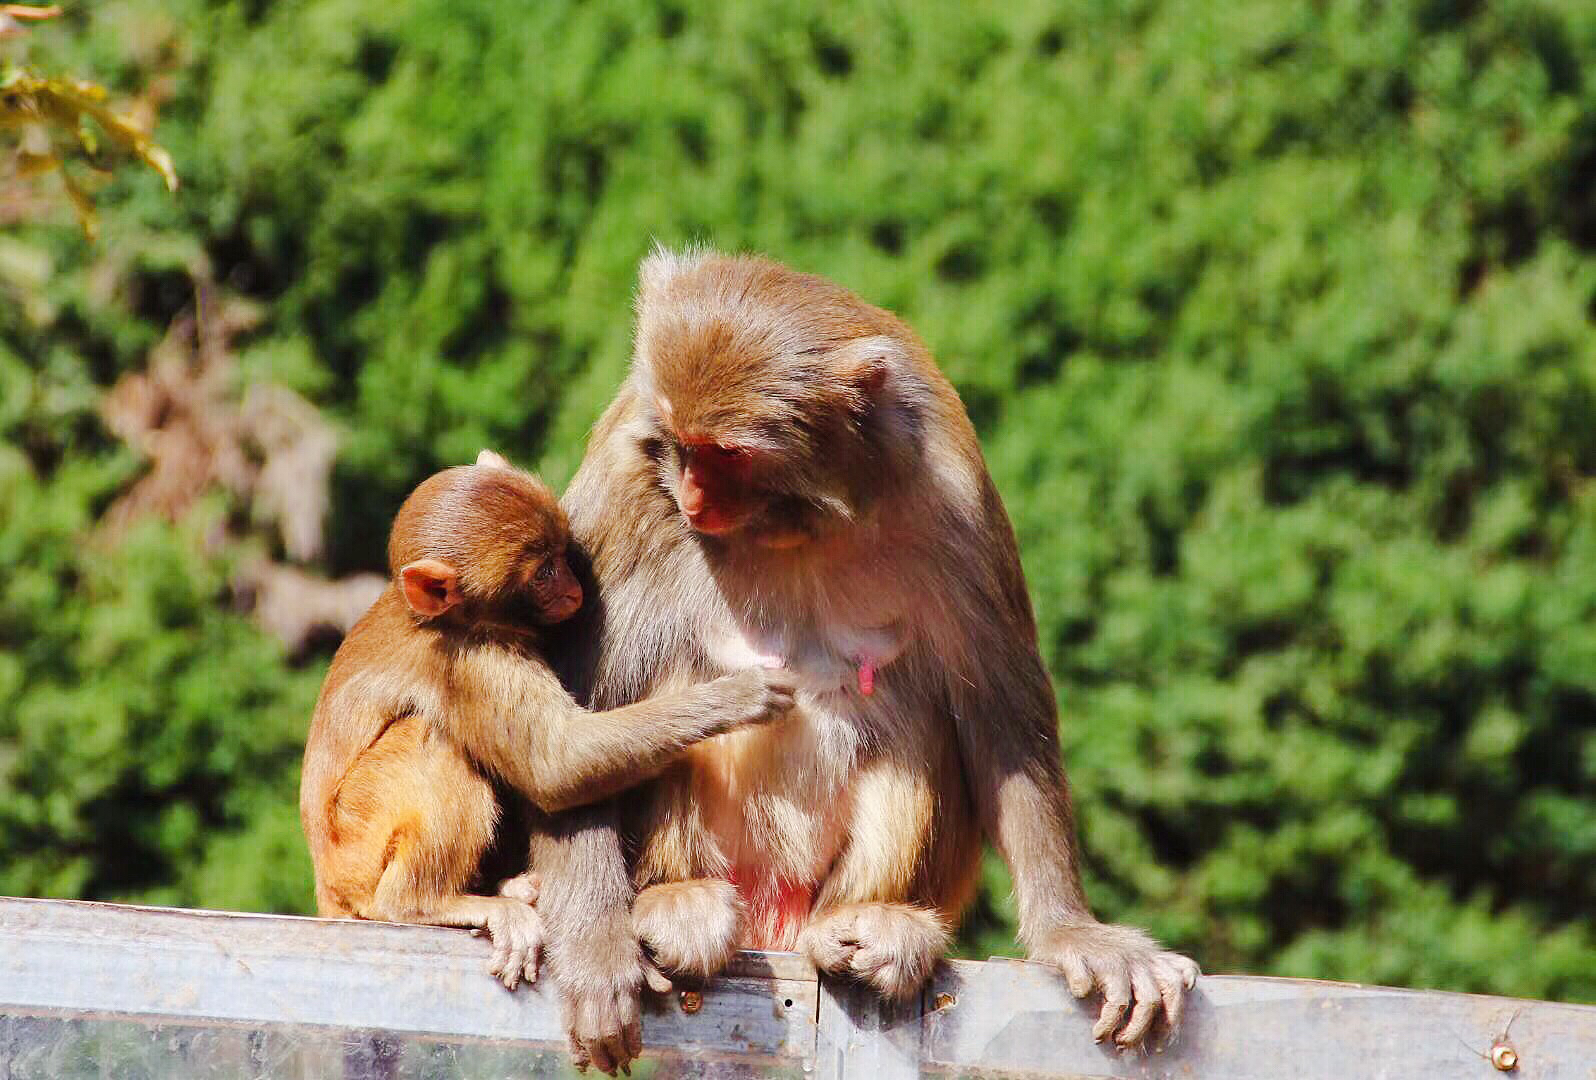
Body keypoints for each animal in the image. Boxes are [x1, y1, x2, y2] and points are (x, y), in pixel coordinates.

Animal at [300, 446, 791, 982]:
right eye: (542, 574)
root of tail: (327, 886)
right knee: (433, 741)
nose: (574, 586)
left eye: (561, 555)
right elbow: (556, 765)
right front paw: (738, 695)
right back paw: (421, 902)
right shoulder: (473, 660)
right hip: (357, 846)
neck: (448, 620)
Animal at [555, 248, 1193, 1046]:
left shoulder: (952, 487)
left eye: (726, 454)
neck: (797, 517)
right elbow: (578, 706)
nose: (693, 497)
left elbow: (1000, 707)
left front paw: (1071, 931)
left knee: (910, 712)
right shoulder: (622, 472)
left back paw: (875, 924)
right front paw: (594, 951)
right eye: (679, 440)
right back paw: (681, 902)